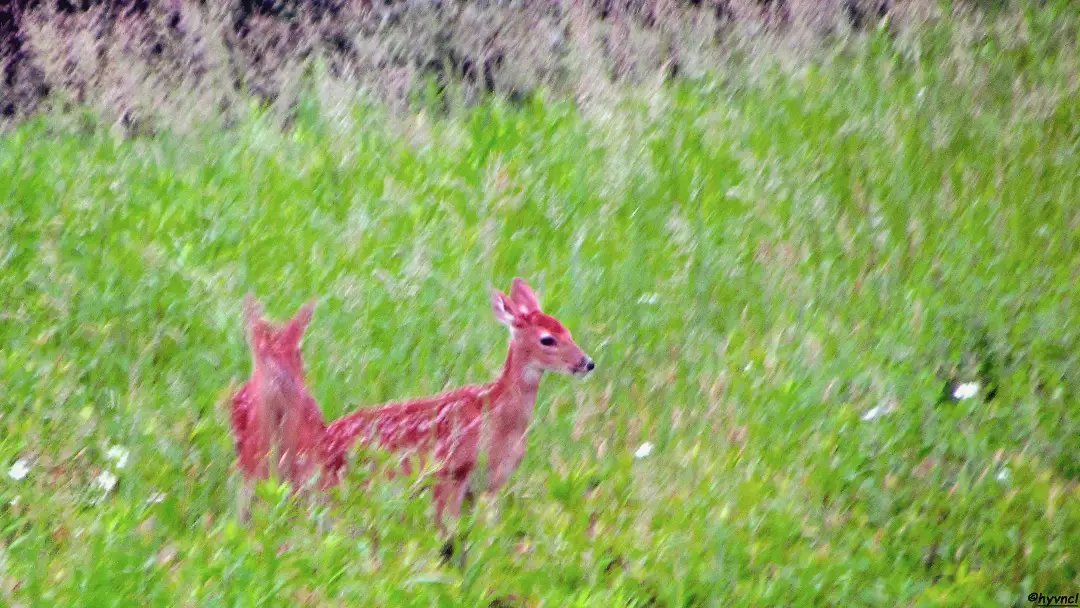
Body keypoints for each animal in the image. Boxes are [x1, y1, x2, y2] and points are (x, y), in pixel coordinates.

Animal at [320, 278, 595, 530]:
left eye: (567, 331)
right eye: (547, 339)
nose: (587, 363)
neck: (498, 417)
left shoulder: (480, 488)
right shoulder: (450, 474)